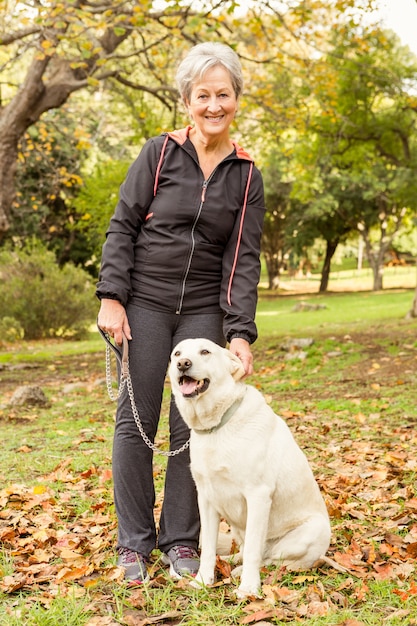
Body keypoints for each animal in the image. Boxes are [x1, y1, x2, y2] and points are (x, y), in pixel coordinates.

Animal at [167, 336, 330, 596]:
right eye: (177, 354)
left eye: (205, 352)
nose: (183, 364)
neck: (216, 426)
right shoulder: (206, 498)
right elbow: (209, 548)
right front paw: (203, 580)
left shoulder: (258, 496)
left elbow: (254, 550)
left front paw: (249, 588)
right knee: (247, 551)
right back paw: (231, 562)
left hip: (311, 532)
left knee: (271, 558)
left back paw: (241, 571)